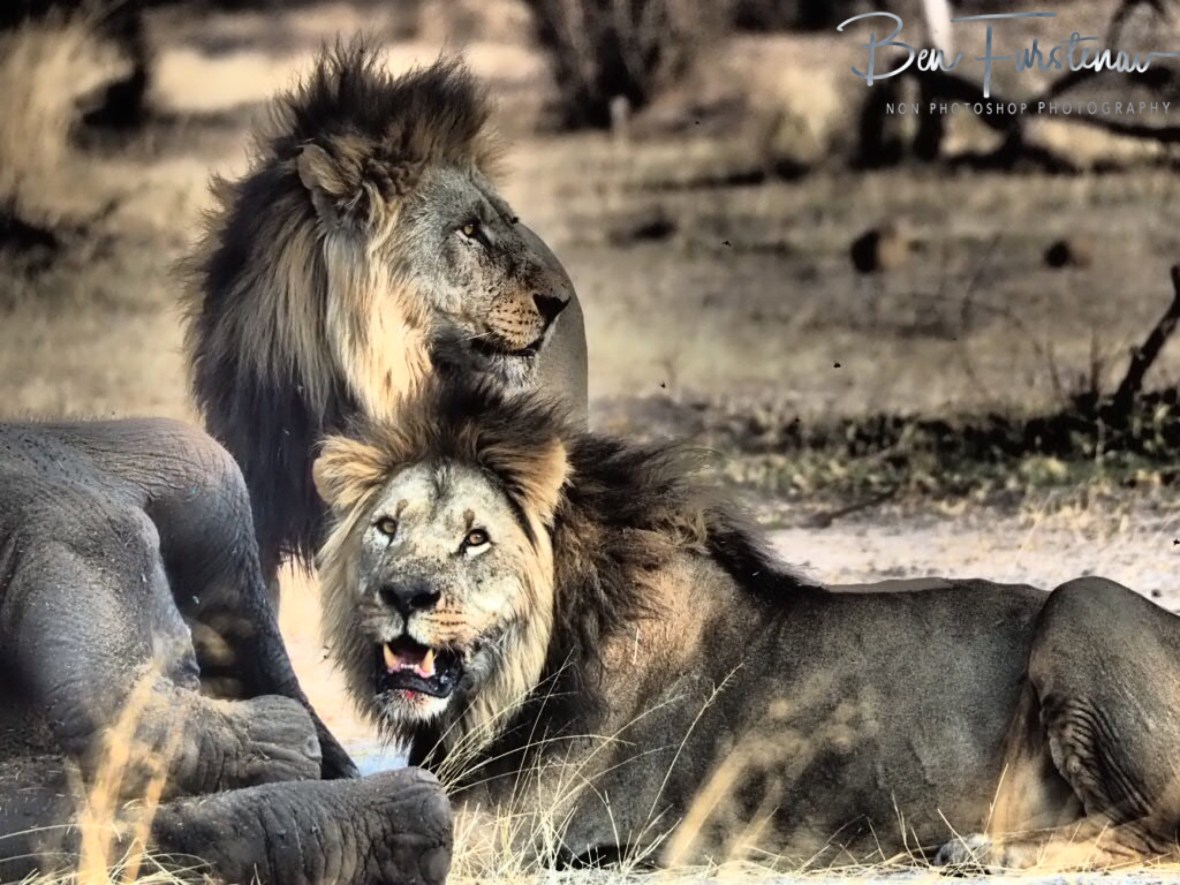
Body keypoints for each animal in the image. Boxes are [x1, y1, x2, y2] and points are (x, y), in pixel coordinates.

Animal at [313, 377, 1180, 872]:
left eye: (476, 537)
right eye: (386, 527)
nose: (402, 592)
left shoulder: (514, 829)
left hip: (1081, 601)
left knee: (1151, 830)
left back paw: (983, 849)